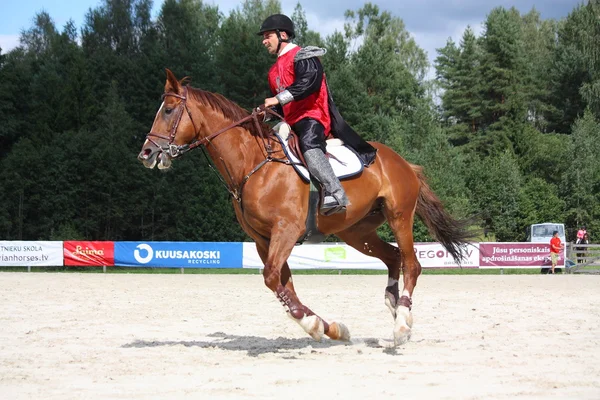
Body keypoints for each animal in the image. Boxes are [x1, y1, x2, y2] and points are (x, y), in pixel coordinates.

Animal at [138, 69, 472, 344]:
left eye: (168, 110)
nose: (146, 153)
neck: (254, 165)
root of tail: (403, 162)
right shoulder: (263, 240)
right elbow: (283, 284)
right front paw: (329, 328)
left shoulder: (286, 230)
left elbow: (273, 278)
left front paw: (312, 324)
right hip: (356, 232)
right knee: (392, 257)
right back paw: (396, 308)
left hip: (399, 216)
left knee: (412, 264)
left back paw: (402, 322)